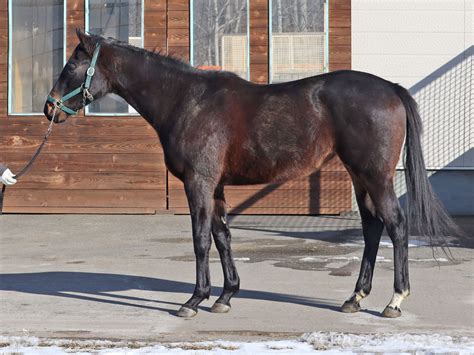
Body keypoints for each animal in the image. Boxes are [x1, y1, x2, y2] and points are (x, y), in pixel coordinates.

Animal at [44, 30, 460, 320]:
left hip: (375, 176)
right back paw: (354, 298)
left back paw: (395, 300)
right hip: (361, 177)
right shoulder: (215, 187)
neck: (187, 100)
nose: (50, 108)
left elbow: (201, 240)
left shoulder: (198, 184)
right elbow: (223, 237)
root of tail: (390, 88)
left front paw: (194, 300)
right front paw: (225, 296)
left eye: (72, 66)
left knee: (397, 226)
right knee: (373, 227)